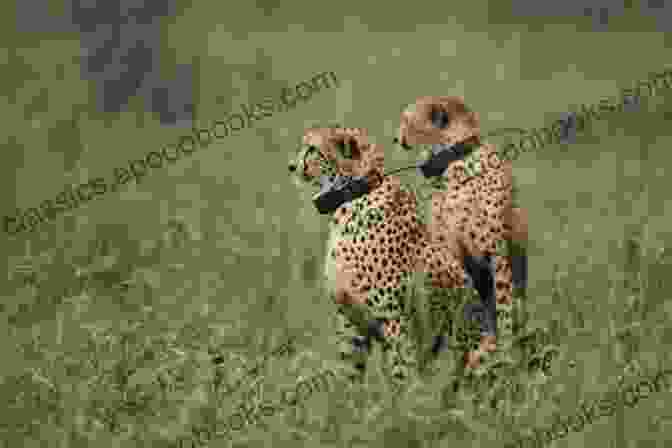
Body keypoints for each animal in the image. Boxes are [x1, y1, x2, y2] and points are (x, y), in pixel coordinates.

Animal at [394, 94, 532, 368]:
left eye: (406, 120)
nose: (397, 138)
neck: (453, 163)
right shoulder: (449, 254)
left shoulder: (495, 253)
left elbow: (503, 305)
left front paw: (506, 351)